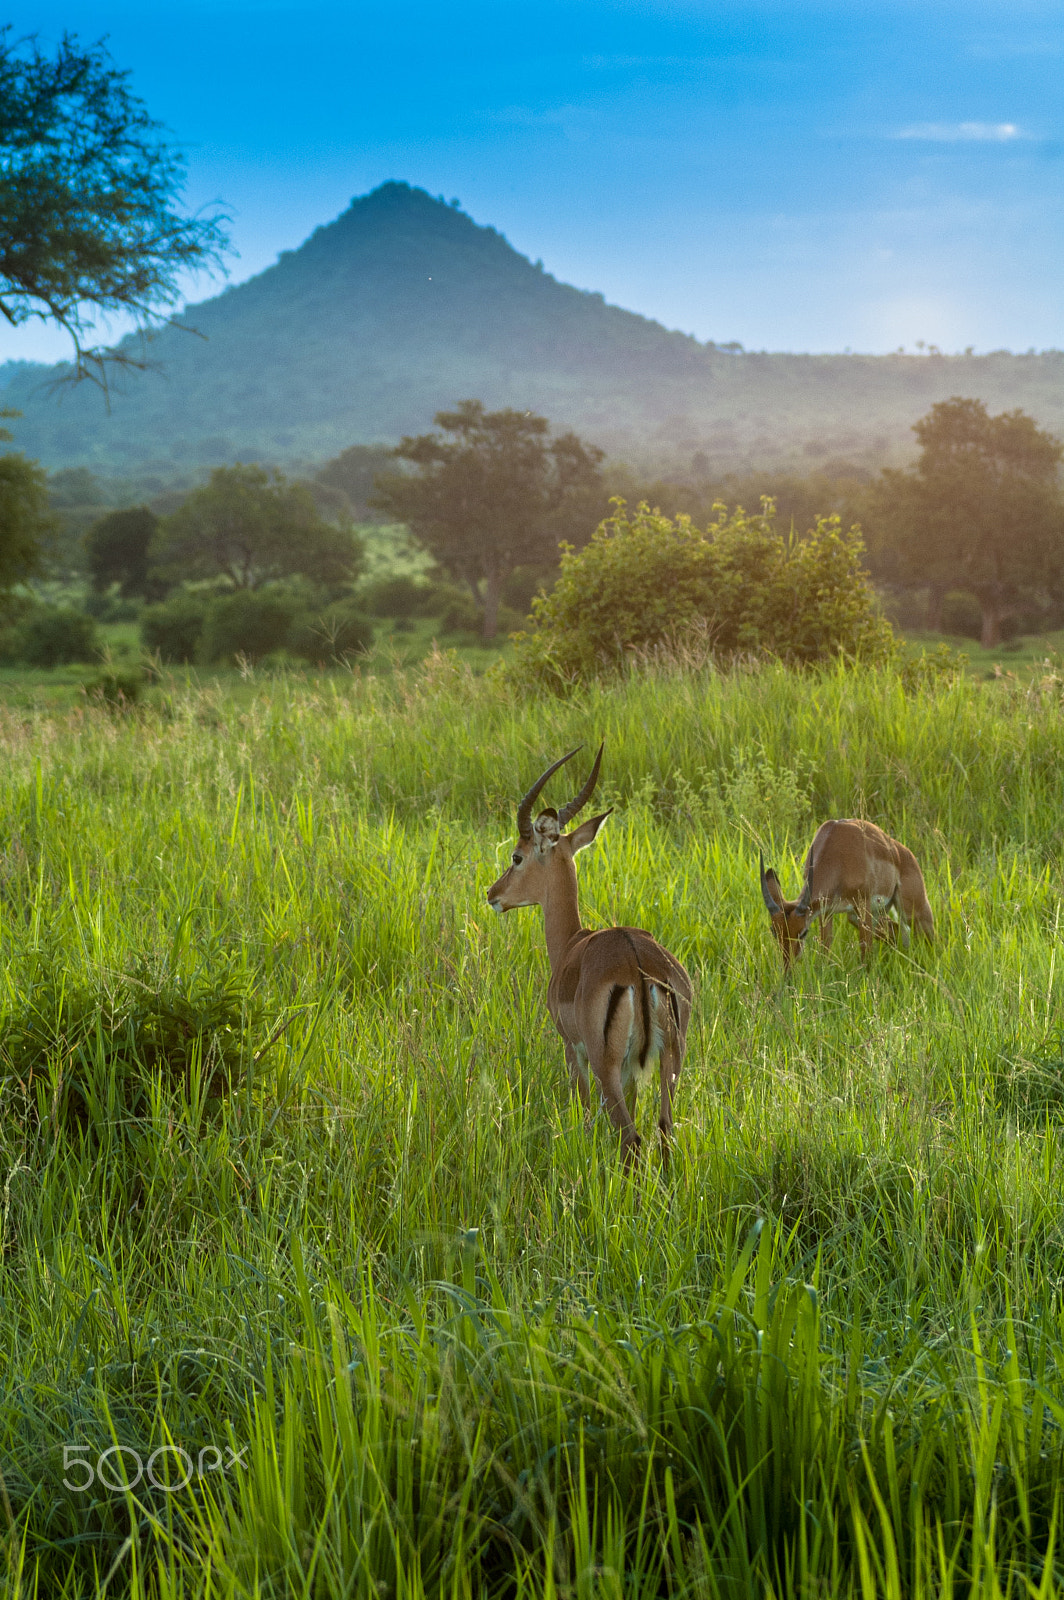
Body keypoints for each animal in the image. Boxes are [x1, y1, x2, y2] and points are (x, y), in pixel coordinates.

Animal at [486, 745, 692, 1165]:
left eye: (516, 856)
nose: (492, 894)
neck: (571, 944)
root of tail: (639, 967)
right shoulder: (633, 1071)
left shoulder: (572, 1050)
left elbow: (582, 1114)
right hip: (669, 1065)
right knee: (664, 1132)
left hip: (605, 1065)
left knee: (632, 1139)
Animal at [760, 818, 934, 969]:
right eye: (774, 931)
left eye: (803, 932)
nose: (787, 967)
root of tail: (903, 853)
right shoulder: (826, 910)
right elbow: (825, 948)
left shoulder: (863, 905)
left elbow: (865, 952)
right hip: (861, 916)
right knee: (896, 931)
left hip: (913, 912)